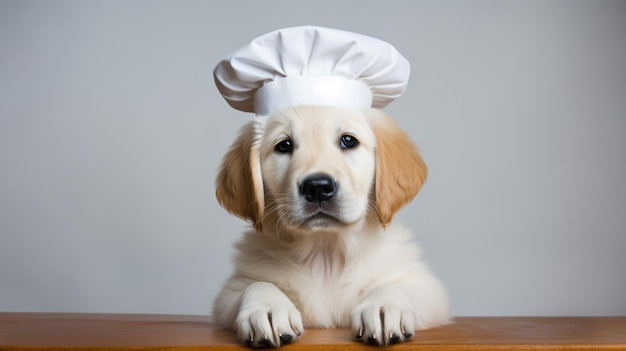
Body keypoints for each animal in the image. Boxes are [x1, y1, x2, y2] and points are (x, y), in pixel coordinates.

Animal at [212, 106, 446, 348]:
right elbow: (256, 285)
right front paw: (268, 308)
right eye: (284, 145)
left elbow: (395, 284)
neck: (325, 250)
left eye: (348, 140)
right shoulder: (229, 295)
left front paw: (383, 307)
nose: (317, 187)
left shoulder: (431, 291)